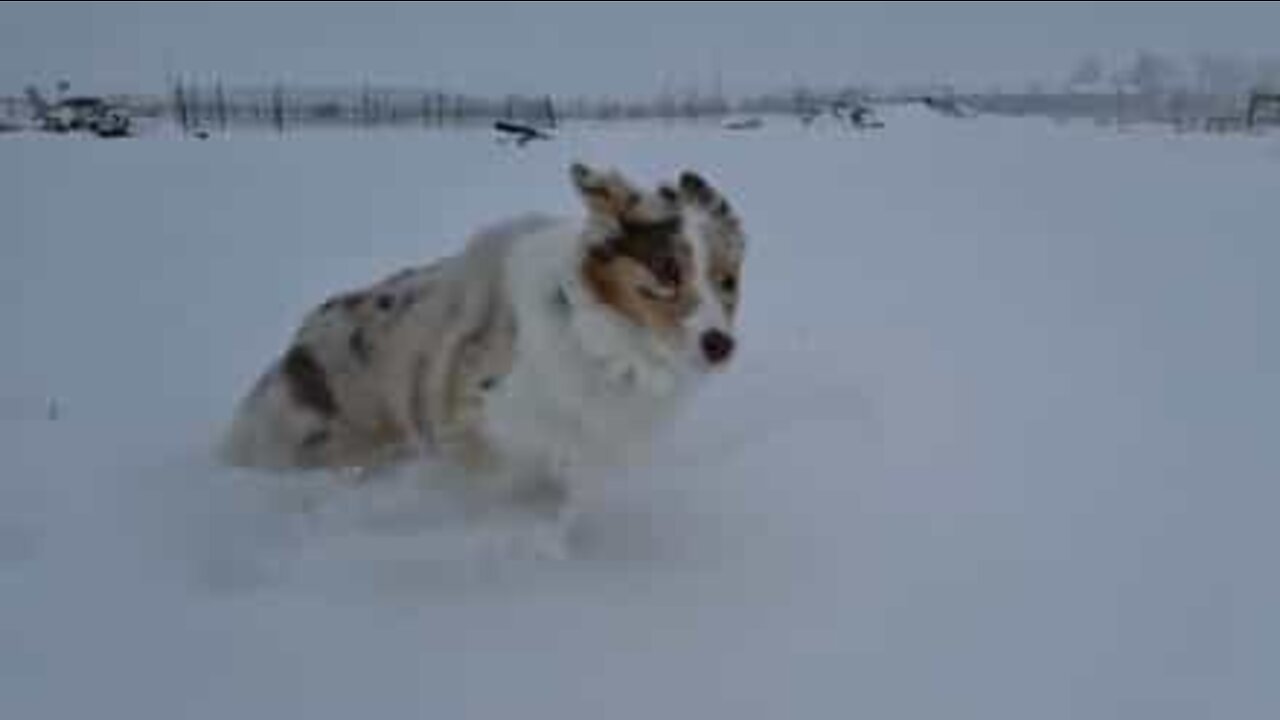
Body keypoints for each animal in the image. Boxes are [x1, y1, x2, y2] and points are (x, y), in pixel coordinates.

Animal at [216, 161, 747, 543]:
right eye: (667, 272)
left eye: (727, 281)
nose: (720, 345)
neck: (595, 335)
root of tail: (291, 353)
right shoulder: (481, 430)